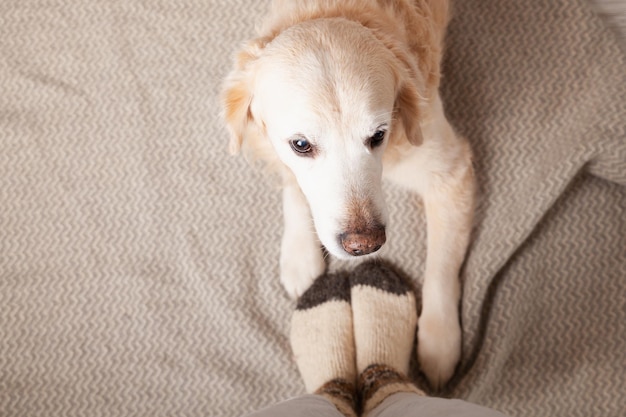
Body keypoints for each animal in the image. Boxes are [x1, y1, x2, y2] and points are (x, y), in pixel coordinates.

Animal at [219, 1, 472, 388]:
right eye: (301, 145)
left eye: (379, 135)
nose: (364, 245)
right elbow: (294, 186)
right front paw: (299, 254)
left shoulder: (449, 171)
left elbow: (441, 267)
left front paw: (439, 341)